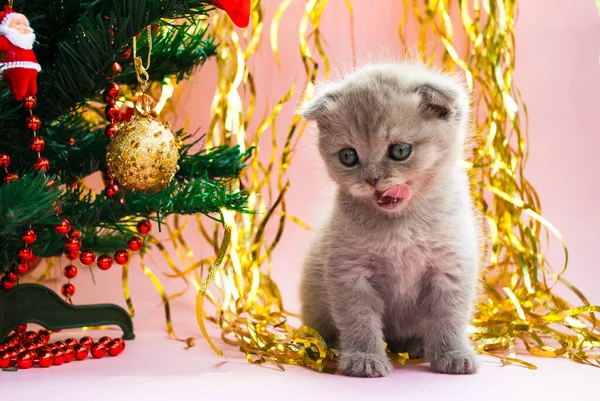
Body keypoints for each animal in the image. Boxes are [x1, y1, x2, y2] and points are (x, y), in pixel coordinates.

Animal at [302, 61, 480, 376]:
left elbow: (449, 318)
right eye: (348, 156)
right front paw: (363, 359)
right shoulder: (350, 272)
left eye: (399, 150)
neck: (401, 225)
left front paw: (453, 354)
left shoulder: (451, 267)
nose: (372, 178)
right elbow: (359, 320)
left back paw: (417, 345)